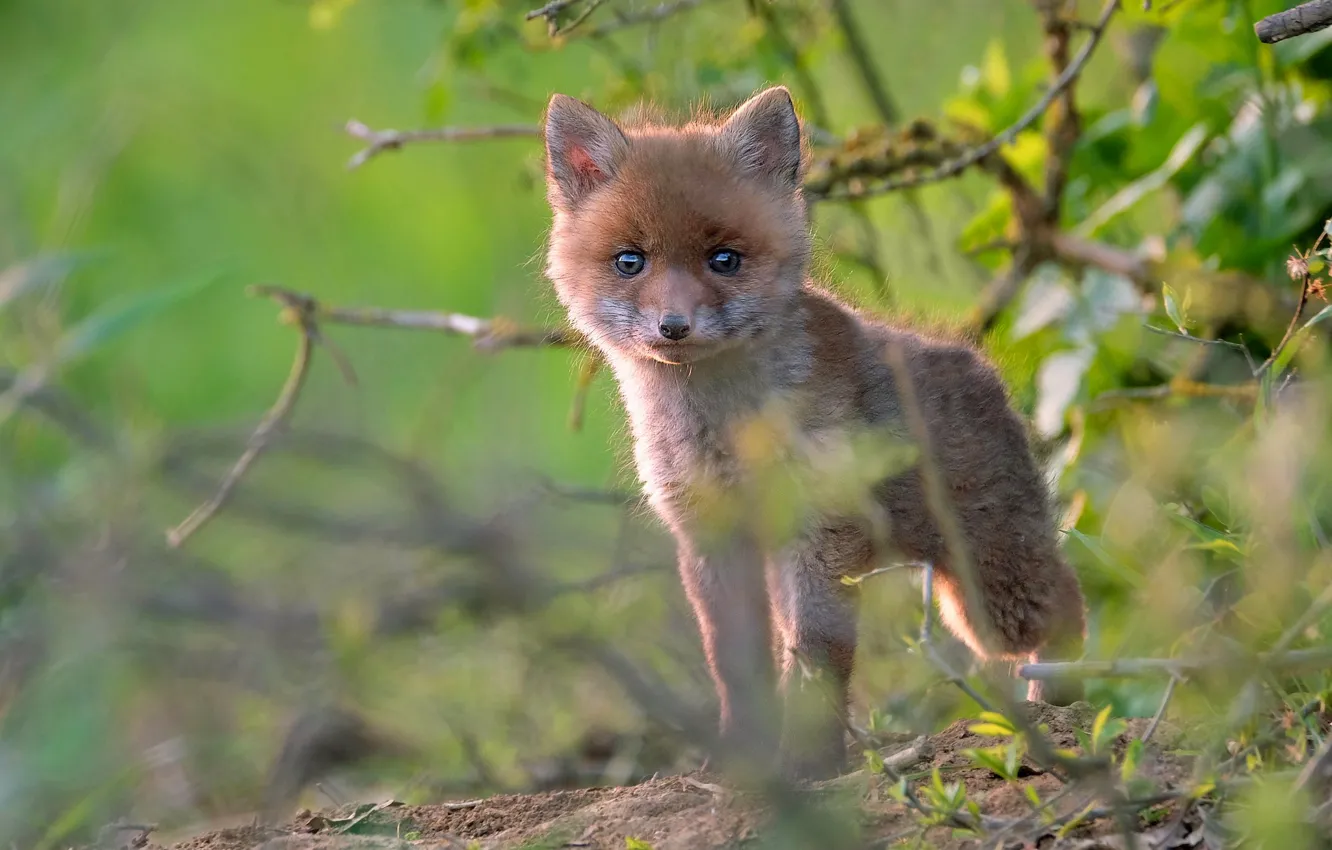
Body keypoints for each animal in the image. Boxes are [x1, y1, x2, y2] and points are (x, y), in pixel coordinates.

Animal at [541, 85, 1087, 780]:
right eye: (629, 261)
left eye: (724, 260)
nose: (674, 327)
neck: (723, 431)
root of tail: (982, 369)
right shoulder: (714, 538)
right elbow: (735, 665)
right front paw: (742, 760)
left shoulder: (822, 532)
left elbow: (818, 656)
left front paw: (809, 762)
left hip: (988, 597)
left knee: (1066, 594)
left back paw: (1065, 705)